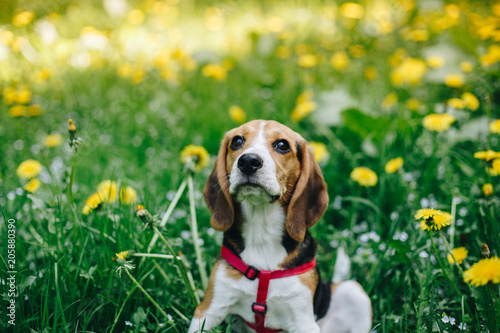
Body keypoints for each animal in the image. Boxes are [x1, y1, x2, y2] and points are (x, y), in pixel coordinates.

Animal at [188, 120, 372, 332]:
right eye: (236, 141)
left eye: (282, 145)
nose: (248, 161)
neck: (262, 233)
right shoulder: (208, 310)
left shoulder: (304, 322)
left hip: (354, 292)